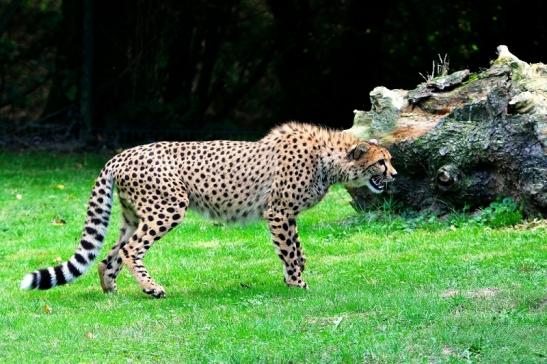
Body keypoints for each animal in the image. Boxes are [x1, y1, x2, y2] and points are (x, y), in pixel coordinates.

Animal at [21, 122, 396, 298]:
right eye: (382, 162)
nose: (394, 175)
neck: (328, 160)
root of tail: (121, 154)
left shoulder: (286, 215)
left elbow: (298, 249)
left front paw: (297, 274)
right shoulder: (278, 212)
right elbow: (289, 251)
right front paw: (296, 283)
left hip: (133, 215)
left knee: (109, 255)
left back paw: (112, 291)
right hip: (168, 207)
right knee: (130, 250)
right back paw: (151, 288)